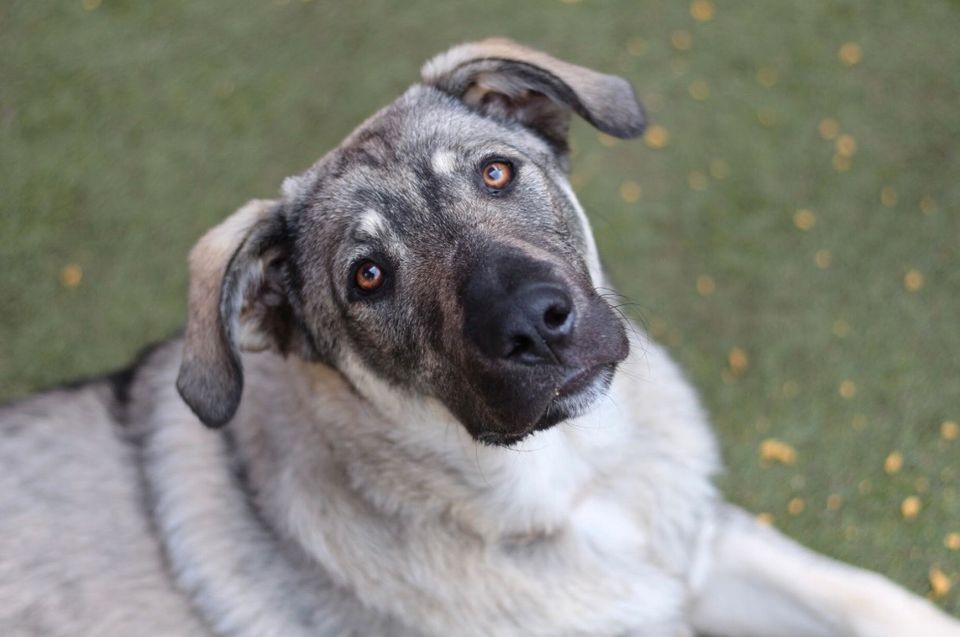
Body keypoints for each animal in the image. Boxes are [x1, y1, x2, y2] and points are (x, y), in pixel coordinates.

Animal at [1, 39, 960, 636]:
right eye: (368, 276)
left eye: (497, 172)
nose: (533, 325)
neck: (572, 488)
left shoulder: (708, 547)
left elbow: (876, 598)